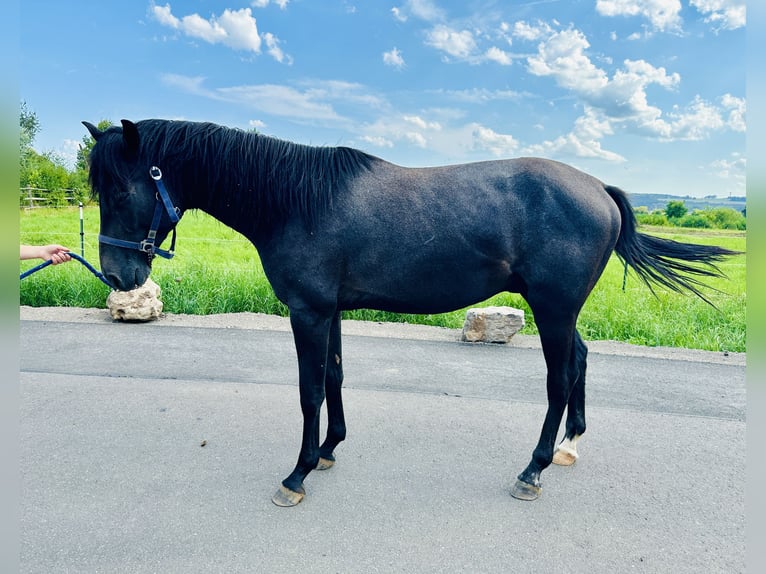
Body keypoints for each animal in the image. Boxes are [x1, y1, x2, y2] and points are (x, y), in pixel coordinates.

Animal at [81, 119, 740, 506]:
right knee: (579, 360)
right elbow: (335, 378)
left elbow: (310, 391)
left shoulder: (308, 312)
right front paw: (329, 450)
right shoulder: (331, 311)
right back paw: (571, 444)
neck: (297, 199)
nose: (117, 277)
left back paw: (534, 469)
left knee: (559, 378)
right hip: (563, 312)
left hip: (553, 310)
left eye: (120, 189)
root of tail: (600, 188)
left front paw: (297, 474)